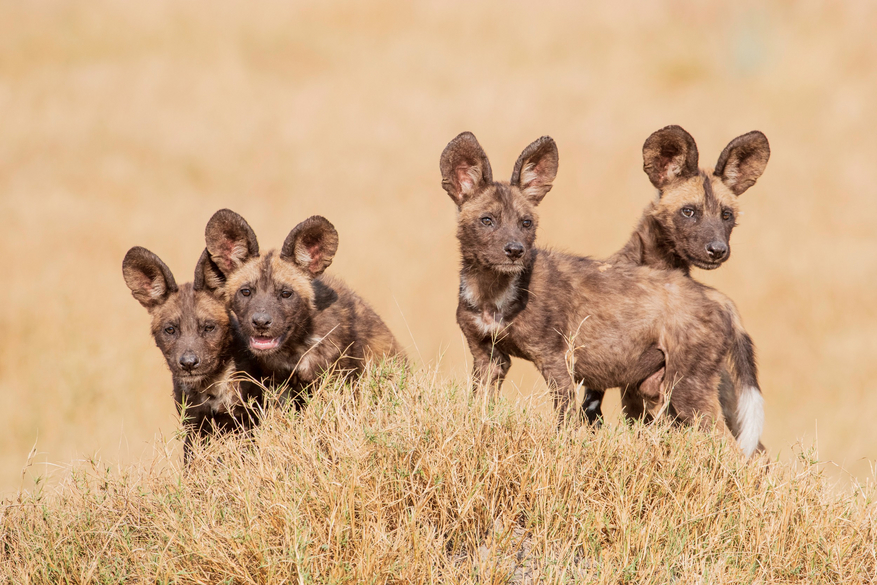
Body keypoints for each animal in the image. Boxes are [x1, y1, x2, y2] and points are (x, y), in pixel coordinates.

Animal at [122, 244, 260, 458]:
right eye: (170, 330)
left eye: (209, 327)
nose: (188, 363)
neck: (211, 385)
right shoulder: (195, 428)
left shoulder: (246, 420)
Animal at [438, 131, 752, 434]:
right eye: (487, 220)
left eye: (526, 223)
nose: (515, 250)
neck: (493, 294)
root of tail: (719, 298)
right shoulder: (488, 357)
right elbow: (479, 406)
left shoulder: (556, 360)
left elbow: (565, 421)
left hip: (688, 389)